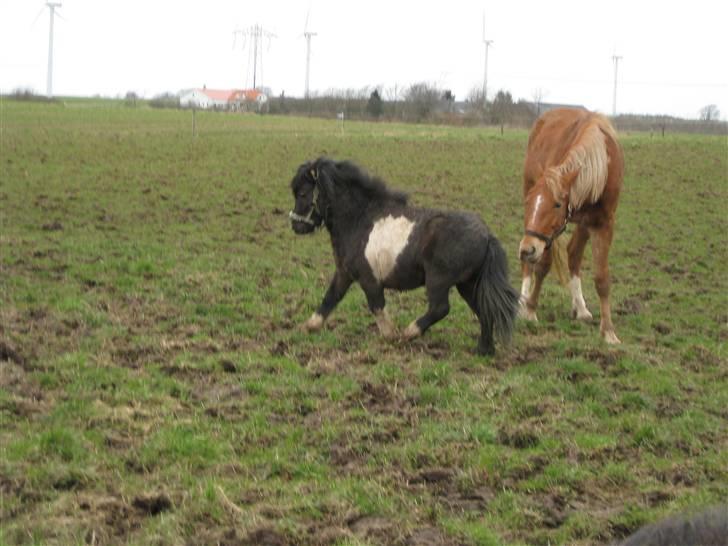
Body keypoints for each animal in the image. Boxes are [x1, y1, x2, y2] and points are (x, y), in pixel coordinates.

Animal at [288, 155, 520, 354]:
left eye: (302, 193)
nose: (296, 225)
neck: (359, 219)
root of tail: (487, 235)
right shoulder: (344, 273)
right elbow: (330, 298)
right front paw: (309, 326)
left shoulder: (369, 279)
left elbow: (377, 306)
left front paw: (390, 336)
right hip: (467, 284)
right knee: (483, 310)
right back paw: (483, 350)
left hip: (439, 280)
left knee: (440, 308)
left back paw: (408, 333)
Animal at [516, 108, 624, 342]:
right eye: (529, 202)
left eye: (557, 204)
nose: (528, 248)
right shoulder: (547, 235)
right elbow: (543, 266)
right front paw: (530, 309)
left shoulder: (603, 223)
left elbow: (602, 278)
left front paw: (608, 331)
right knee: (530, 266)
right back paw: (522, 300)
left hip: (583, 224)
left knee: (573, 253)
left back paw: (580, 308)